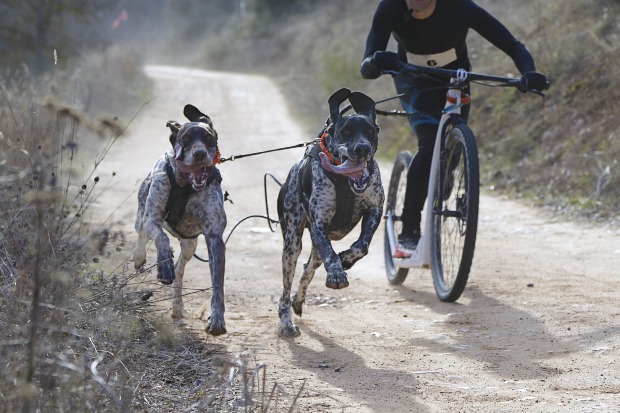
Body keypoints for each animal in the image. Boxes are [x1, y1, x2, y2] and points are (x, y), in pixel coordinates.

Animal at [134, 103, 228, 334]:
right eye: (185, 138)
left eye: (208, 138)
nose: (200, 154)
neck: (186, 186)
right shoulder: (153, 219)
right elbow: (161, 239)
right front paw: (163, 266)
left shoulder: (214, 237)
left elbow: (217, 283)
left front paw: (217, 318)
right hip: (142, 214)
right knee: (142, 232)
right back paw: (141, 257)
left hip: (190, 244)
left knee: (180, 271)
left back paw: (177, 306)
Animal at [276, 88, 382, 336]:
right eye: (346, 131)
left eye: (370, 131)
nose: (362, 148)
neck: (345, 183)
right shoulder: (318, 225)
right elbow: (331, 256)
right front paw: (336, 272)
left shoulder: (375, 210)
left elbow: (362, 246)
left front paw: (345, 260)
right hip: (292, 245)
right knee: (285, 289)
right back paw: (286, 321)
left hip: (314, 250)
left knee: (308, 269)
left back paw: (298, 300)